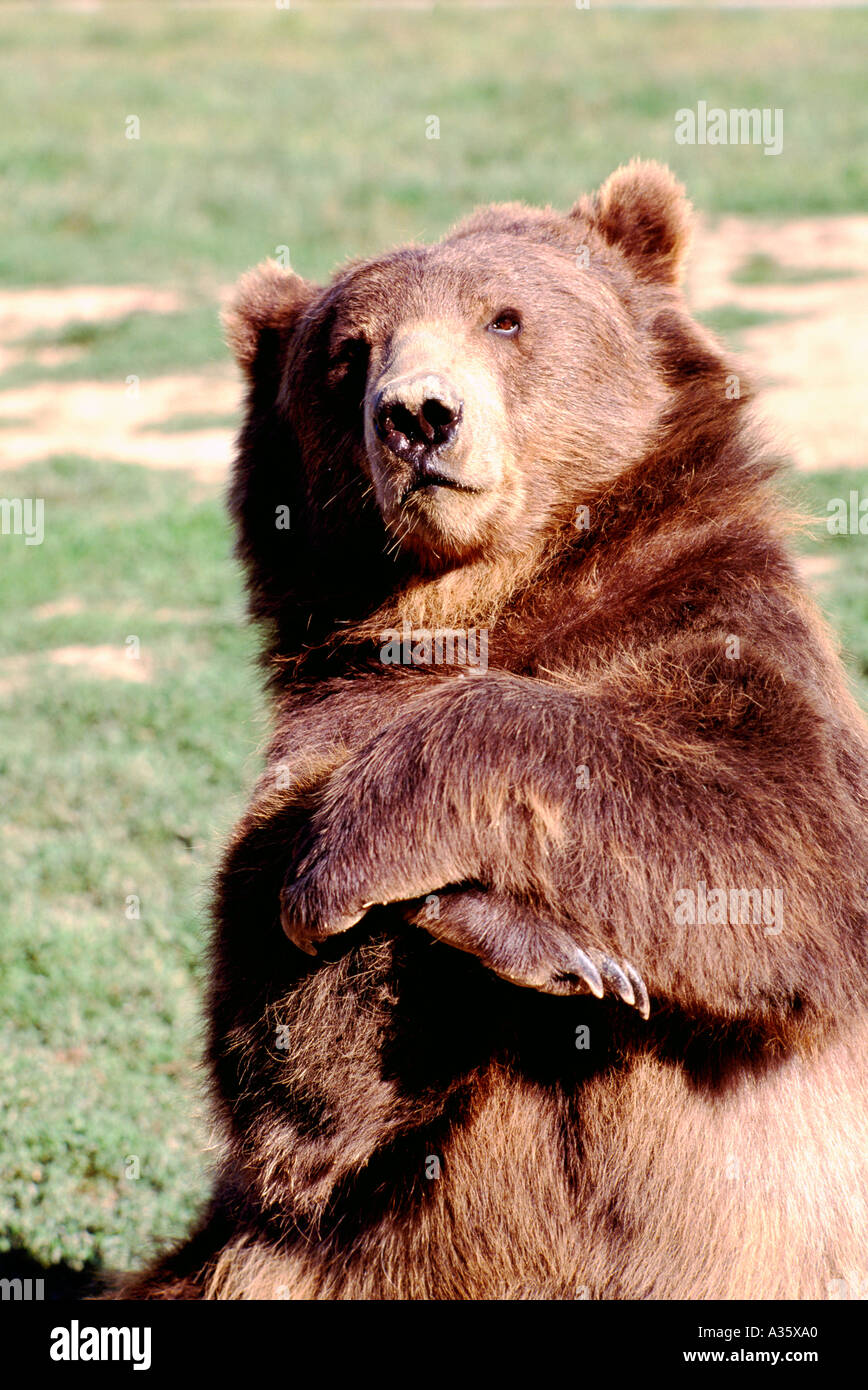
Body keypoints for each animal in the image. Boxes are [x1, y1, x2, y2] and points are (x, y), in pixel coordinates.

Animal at [115, 160, 868, 1300]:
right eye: (347, 352)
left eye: (504, 317)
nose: (419, 415)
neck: (486, 599)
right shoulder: (321, 722)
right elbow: (290, 1067)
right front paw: (527, 939)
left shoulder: (719, 629)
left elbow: (775, 836)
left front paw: (422, 878)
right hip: (328, 1264)